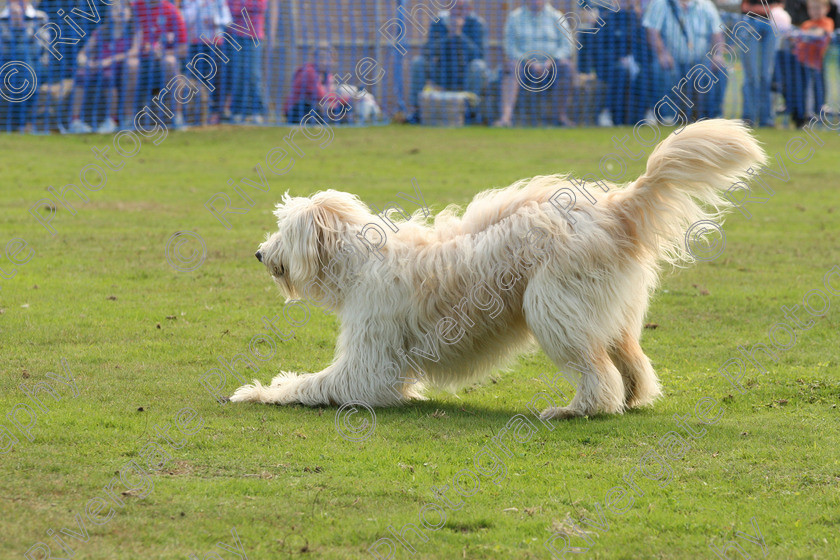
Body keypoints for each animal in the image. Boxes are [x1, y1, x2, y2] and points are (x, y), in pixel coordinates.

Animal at [231, 122, 768, 420]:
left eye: (283, 229)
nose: (258, 253)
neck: (361, 257)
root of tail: (615, 207)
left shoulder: (367, 363)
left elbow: (316, 383)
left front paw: (258, 391)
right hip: (609, 313)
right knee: (630, 363)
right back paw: (633, 398)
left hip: (554, 307)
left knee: (597, 376)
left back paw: (575, 410)